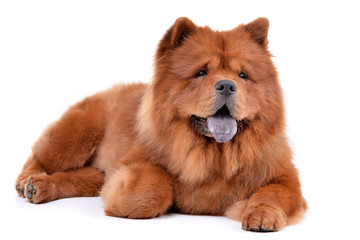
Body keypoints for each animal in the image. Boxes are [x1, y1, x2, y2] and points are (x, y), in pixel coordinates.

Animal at [15, 17, 306, 232]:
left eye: (243, 75)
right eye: (201, 72)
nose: (227, 85)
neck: (214, 155)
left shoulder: (286, 177)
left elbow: (273, 193)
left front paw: (261, 216)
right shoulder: (135, 162)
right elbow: (155, 184)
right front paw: (120, 199)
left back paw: (39, 187)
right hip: (76, 134)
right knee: (40, 156)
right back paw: (27, 183)